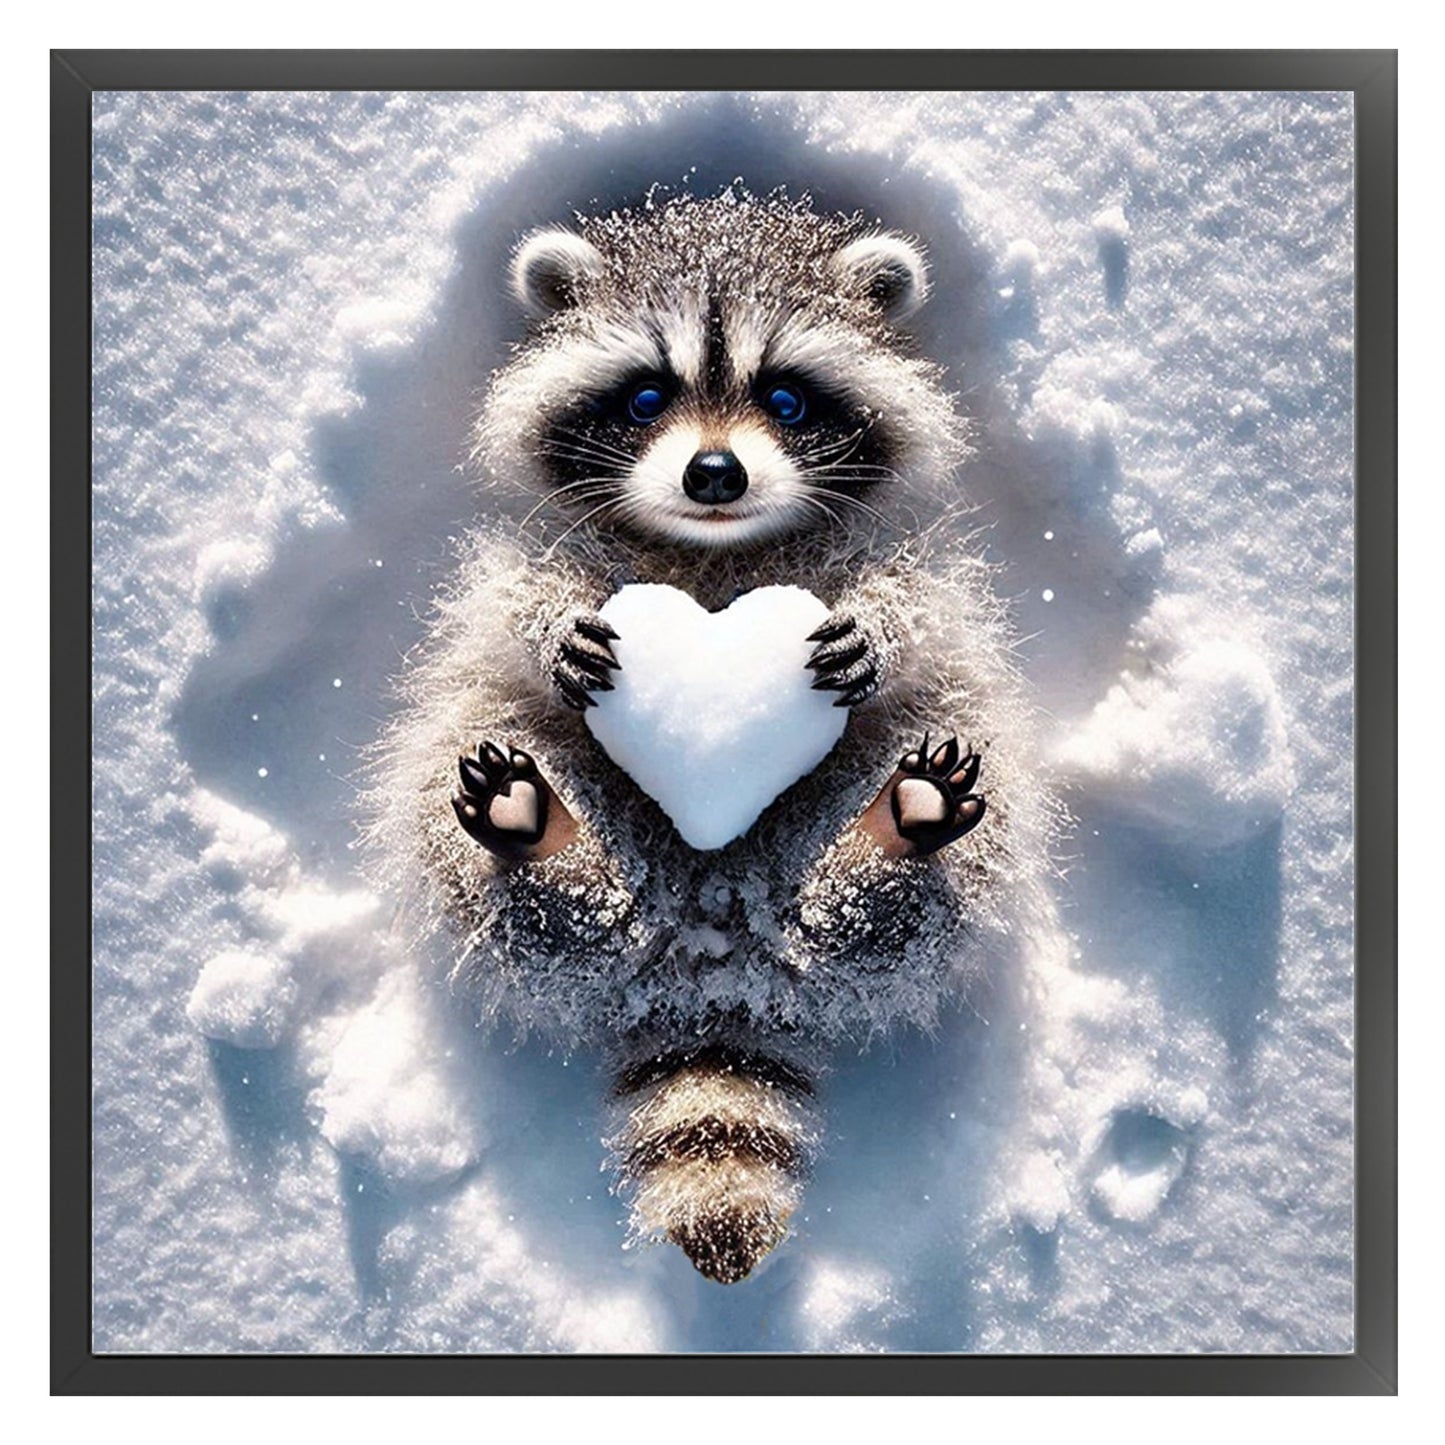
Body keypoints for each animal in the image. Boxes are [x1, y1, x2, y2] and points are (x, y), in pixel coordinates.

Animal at [366, 192, 1050, 1284]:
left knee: (921, 894)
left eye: (786, 398)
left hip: (893, 795)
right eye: (648, 395)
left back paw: (901, 826)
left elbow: (921, 599)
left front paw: (880, 627)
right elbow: (508, 593)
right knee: (502, 875)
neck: (714, 551)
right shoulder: (545, 545)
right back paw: (533, 829)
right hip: (505, 776)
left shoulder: (894, 548)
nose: (714, 472)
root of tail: (712, 953)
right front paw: (548, 628)